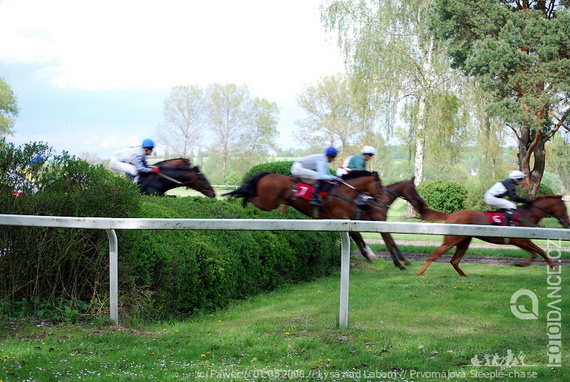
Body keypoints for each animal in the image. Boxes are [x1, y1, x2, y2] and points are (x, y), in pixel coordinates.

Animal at [412, 195, 568, 276]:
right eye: (564, 207)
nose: (567, 222)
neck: (527, 214)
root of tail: (450, 215)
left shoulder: (522, 240)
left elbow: (535, 253)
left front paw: (522, 263)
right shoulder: (520, 239)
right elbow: (541, 251)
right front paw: (554, 269)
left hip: (464, 240)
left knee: (454, 261)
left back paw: (465, 276)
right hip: (452, 240)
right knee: (435, 255)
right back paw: (420, 273)